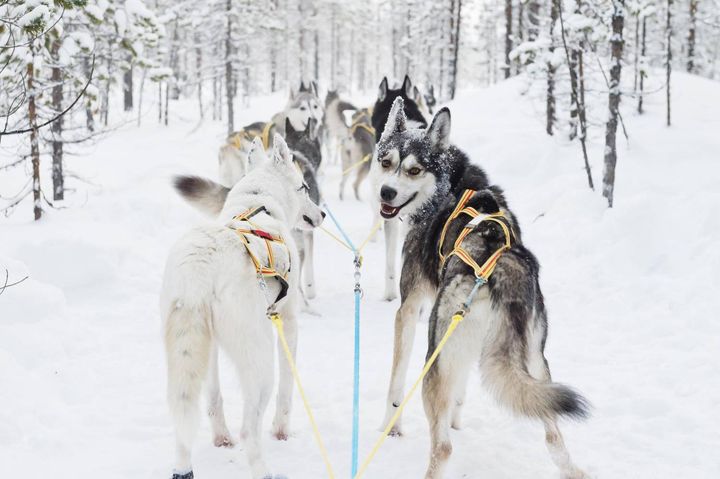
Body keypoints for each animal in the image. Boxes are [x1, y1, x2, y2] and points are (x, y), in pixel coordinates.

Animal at [163, 136, 324, 479]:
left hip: (192, 352)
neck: (258, 202)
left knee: (195, 412)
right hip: (259, 362)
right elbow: (287, 390)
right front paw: (281, 432)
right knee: (250, 428)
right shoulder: (287, 321)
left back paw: (201, 454)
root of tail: (201, 266)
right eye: (304, 187)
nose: (322, 215)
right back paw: (264, 470)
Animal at [374, 98, 588, 479]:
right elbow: (459, 390)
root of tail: (498, 265)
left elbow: (395, 385)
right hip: (534, 362)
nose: (386, 192)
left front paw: (390, 428)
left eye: (414, 170)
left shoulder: (409, 310)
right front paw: (456, 417)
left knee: (442, 448)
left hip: (436, 353)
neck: (449, 185)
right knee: (553, 436)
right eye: (386, 162)